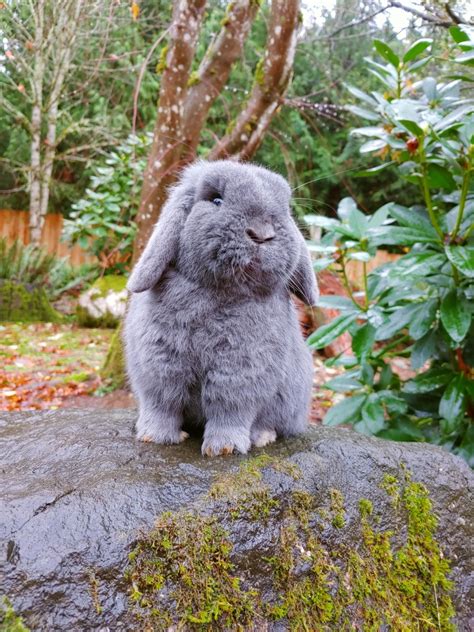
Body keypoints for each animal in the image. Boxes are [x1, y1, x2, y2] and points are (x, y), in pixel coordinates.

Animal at [125, 158, 318, 454]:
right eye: (216, 200)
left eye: (285, 209)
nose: (262, 234)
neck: (215, 292)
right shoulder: (160, 364)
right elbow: (162, 404)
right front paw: (155, 437)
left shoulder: (240, 371)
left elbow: (229, 410)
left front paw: (223, 448)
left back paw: (261, 437)